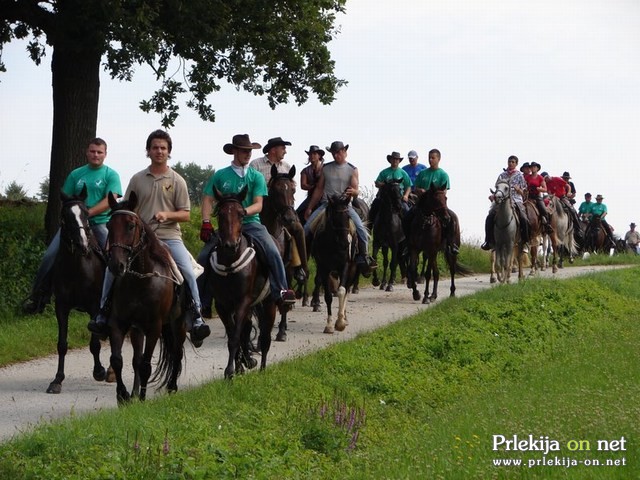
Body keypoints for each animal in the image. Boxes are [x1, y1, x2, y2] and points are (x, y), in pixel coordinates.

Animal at [48, 185, 110, 394]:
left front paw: (99, 371)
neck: (77, 268)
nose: (83, 244)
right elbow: (62, 344)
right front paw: (57, 380)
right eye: (65, 215)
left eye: (86, 213)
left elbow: (95, 344)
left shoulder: (94, 306)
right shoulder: (61, 307)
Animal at [105, 191, 188, 404]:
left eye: (130, 226)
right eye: (109, 225)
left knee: (176, 352)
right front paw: (123, 395)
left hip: (178, 323)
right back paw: (134, 392)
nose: (116, 265)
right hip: (137, 329)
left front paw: (142, 399)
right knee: (136, 359)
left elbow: (146, 365)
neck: (140, 280)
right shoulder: (119, 323)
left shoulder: (154, 327)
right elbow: (118, 360)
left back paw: (172, 387)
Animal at [208, 188, 278, 378]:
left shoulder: (243, 301)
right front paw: (239, 365)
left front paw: (229, 371)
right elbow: (235, 334)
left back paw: (262, 369)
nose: (230, 245)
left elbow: (235, 337)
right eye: (220, 214)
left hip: (269, 303)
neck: (230, 263)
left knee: (265, 337)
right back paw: (246, 361)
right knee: (246, 330)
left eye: (241, 214)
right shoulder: (222, 305)